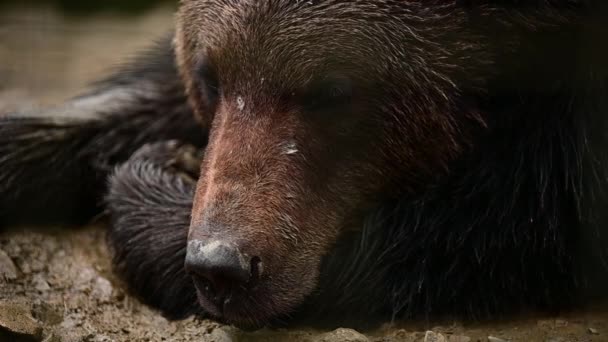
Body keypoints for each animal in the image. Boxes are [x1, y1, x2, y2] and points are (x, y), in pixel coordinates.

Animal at [1, 0, 608, 332]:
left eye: (332, 91)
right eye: (210, 77)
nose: (220, 266)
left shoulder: (556, 160)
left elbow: (482, 221)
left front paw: (154, 181)